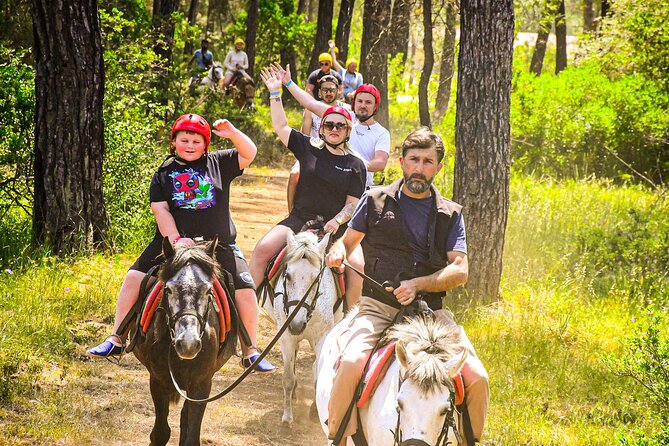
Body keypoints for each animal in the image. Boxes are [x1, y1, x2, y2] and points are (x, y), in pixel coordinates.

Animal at [260, 232, 348, 424]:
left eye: (316, 278)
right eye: (287, 275)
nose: (297, 324)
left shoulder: (322, 337)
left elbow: (318, 371)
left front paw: (316, 411)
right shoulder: (286, 335)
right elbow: (288, 377)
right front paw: (287, 417)